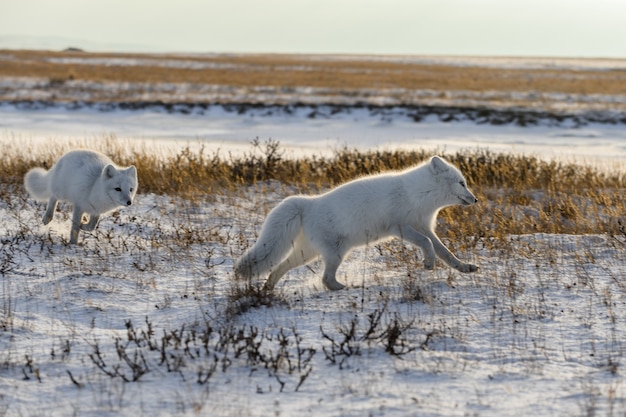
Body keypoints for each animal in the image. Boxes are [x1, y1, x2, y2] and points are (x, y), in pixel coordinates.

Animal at [234, 155, 478, 290]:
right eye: (462, 183)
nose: (475, 199)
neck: (419, 194)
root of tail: (308, 204)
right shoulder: (400, 226)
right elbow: (427, 243)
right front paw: (428, 263)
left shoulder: (423, 226)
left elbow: (444, 252)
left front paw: (464, 267)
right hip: (335, 253)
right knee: (325, 279)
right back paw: (344, 288)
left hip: (308, 254)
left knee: (280, 267)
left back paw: (268, 287)